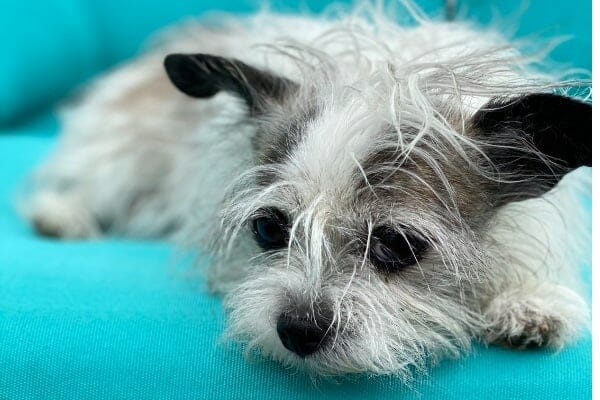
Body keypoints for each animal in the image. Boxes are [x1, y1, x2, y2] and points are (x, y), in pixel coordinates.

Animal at [22, 2, 592, 378]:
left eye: (397, 244)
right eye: (268, 229)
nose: (297, 331)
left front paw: (531, 300)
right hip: (121, 158)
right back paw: (61, 213)